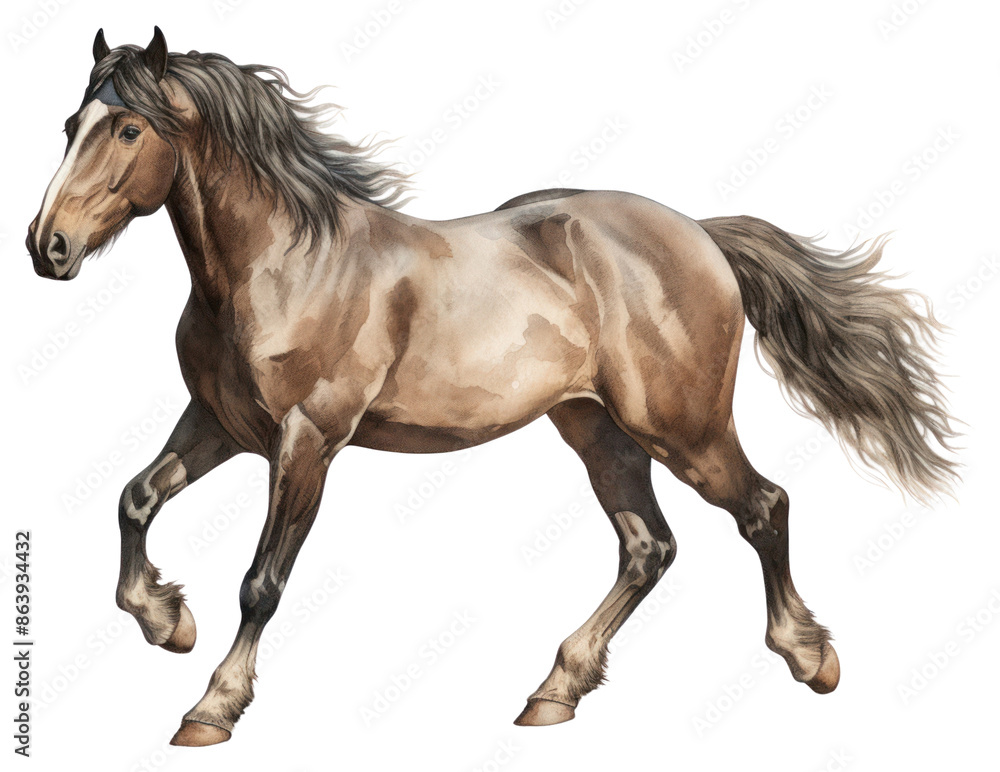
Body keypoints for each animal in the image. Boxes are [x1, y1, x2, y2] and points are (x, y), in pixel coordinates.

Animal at [26, 28, 958, 747]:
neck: (281, 265)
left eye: (129, 129)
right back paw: (555, 691)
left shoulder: (307, 440)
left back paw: (811, 657)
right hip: (599, 433)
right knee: (649, 547)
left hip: (681, 427)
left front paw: (211, 707)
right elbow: (135, 499)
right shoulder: (219, 425)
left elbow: (261, 580)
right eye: (73, 123)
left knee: (763, 507)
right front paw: (166, 622)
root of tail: (698, 233)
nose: (47, 247)